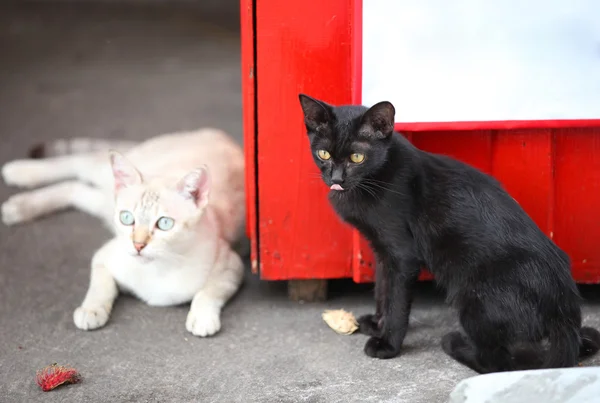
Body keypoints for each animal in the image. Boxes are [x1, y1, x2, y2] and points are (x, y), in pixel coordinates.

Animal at [0, 129, 244, 338]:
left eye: (164, 223)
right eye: (127, 218)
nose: (138, 245)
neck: (156, 271)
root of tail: (222, 136)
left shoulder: (231, 266)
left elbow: (208, 292)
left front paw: (202, 318)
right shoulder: (103, 256)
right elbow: (101, 288)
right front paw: (91, 311)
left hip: (103, 202)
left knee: (75, 187)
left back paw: (19, 204)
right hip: (106, 184)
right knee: (80, 163)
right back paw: (20, 176)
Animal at [296, 93, 600, 374]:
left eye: (357, 157)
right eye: (324, 154)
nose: (336, 179)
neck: (376, 178)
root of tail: (564, 311)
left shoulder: (402, 254)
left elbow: (396, 300)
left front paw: (387, 344)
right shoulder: (382, 251)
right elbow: (383, 287)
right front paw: (377, 322)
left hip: (472, 295)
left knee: (500, 365)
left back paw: (454, 343)